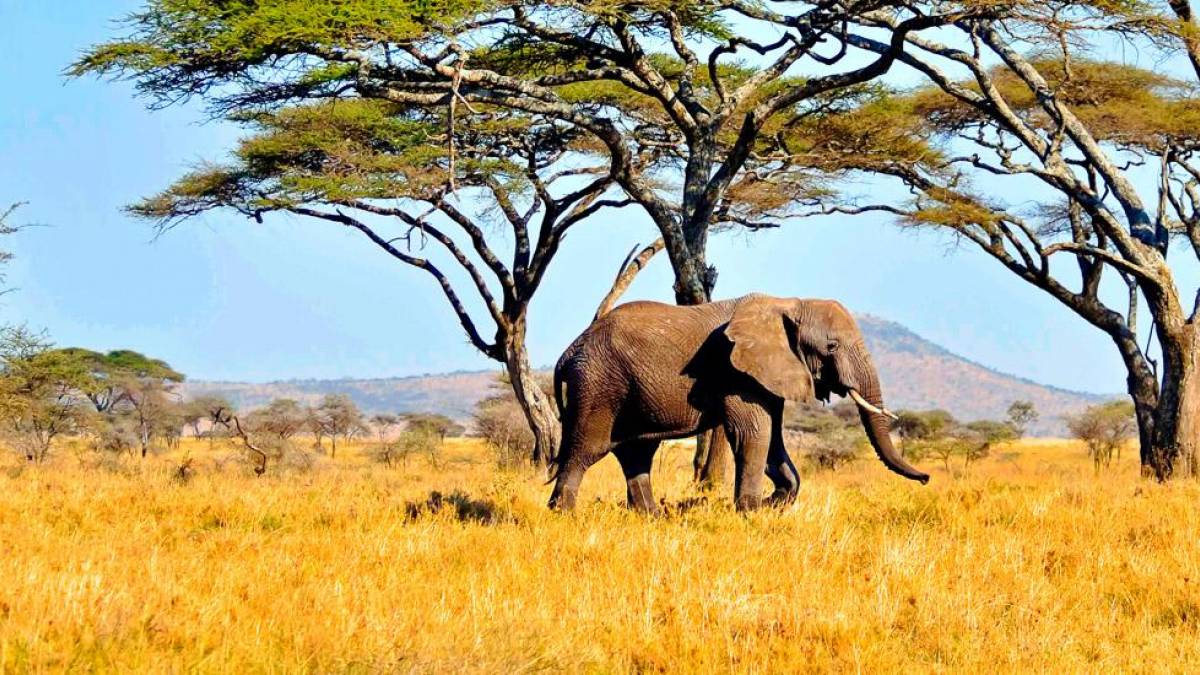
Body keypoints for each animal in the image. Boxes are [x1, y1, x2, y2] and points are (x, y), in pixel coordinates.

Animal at [549, 293, 930, 512]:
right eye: (831, 346)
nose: (926, 479)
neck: (788, 303)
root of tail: (568, 352)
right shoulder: (736, 371)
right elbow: (753, 433)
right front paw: (750, 510)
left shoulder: (768, 372)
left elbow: (773, 437)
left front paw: (774, 503)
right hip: (598, 384)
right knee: (586, 450)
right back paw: (564, 514)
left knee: (637, 453)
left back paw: (651, 517)